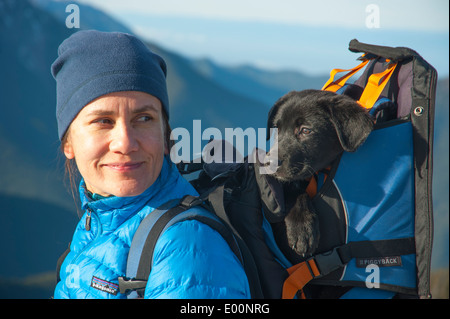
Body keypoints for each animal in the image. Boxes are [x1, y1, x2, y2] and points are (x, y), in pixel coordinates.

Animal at [268, 89, 372, 258]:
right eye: (277, 128)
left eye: (305, 130)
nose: (267, 163)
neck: (320, 173)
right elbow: (294, 192)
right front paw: (302, 228)